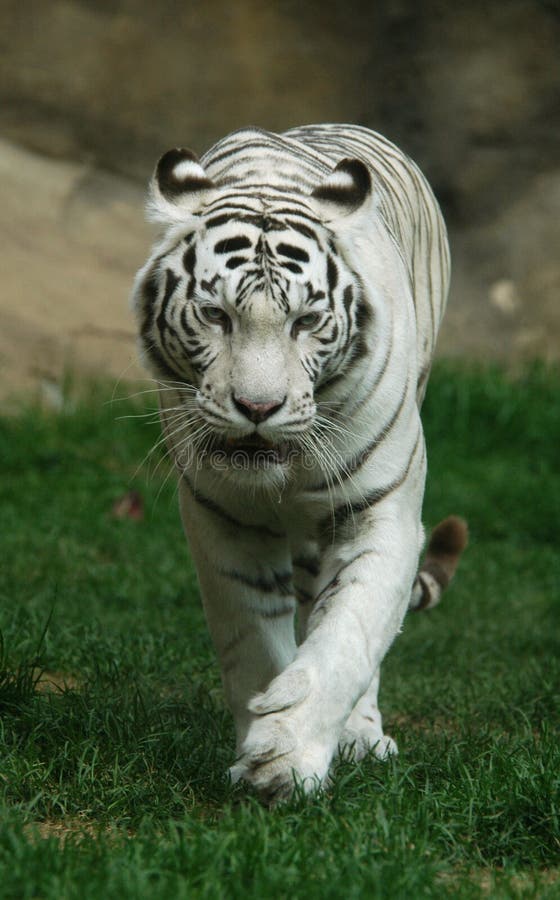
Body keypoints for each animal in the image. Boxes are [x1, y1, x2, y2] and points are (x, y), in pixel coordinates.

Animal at [131, 125, 468, 800]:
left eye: (306, 321)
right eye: (216, 315)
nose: (258, 407)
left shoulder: (381, 512)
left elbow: (350, 635)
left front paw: (288, 759)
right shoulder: (219, 517)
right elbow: (252, 636)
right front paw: (262, 749)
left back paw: (362, 737)